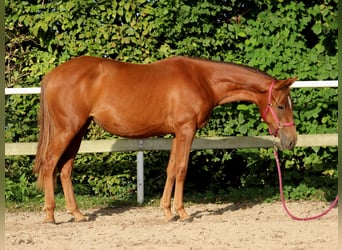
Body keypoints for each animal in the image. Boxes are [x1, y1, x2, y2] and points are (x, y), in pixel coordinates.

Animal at [33, 56, 298, 223]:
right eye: (281, 105)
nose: (291, 140)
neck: (202, 79)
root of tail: (51, 76)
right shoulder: (186, 130)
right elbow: (181, 169)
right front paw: (183, 213)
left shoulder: (176, 134)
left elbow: (171, 169)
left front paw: (168, 211)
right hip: (66, 130)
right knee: (49, 164)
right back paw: (50, 215)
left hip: (78, 131)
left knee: (65, 169)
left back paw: (77, 214)